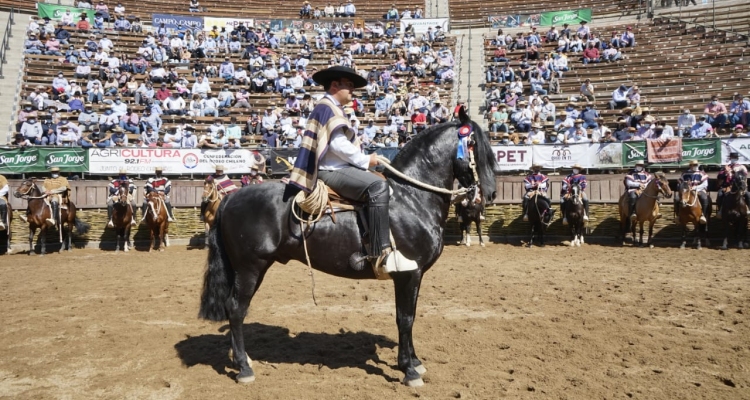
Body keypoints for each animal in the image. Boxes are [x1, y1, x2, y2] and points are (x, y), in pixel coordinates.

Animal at [198, 108, 500, 388]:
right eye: (475, 145)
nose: (491, 193)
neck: (411, 198)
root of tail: (231, 198)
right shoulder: (408, 273)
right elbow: (405, 318)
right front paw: (409, 371)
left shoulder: (414, 275)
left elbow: (410, 315)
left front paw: (414, 361)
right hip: (249, 268)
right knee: (236, 309)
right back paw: (244, 369)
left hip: (252, 268)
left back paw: (244, 360)